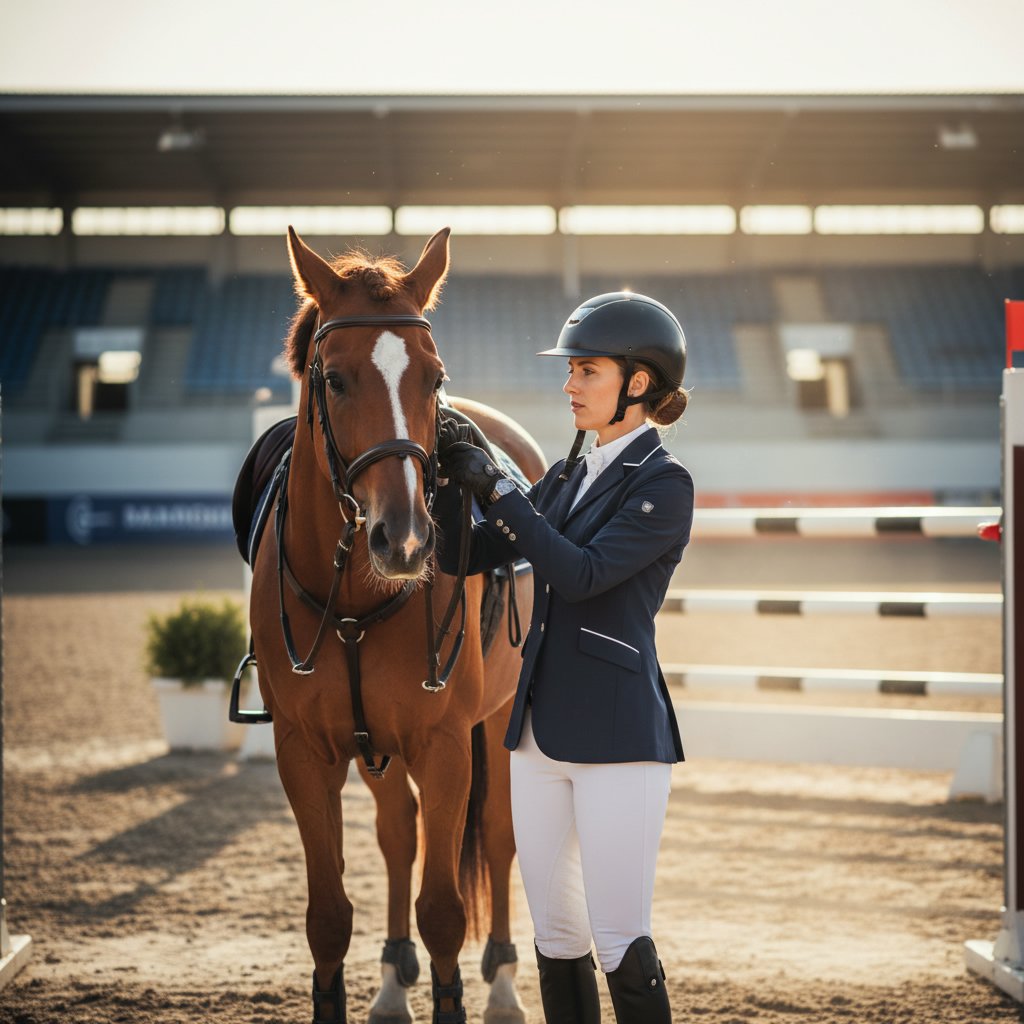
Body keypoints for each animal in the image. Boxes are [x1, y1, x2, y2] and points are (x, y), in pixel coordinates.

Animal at [246, 225, 546, 1024]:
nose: (405, 540)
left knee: (497, 836)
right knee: (396, 833)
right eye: (335, 379)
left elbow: (443, 909)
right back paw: (390, 980)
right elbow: (328, 916)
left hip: (496, 723)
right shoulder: (304, 753)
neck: (353, 597)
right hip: (373, 747)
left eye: (432, 379)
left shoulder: (445, 747)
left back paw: (503, 984)